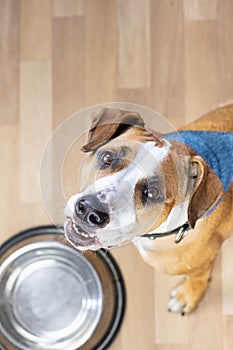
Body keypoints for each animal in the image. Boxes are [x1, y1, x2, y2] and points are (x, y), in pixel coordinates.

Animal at [64, 104, 233, 314]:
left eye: (152, 193)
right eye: (107, 157)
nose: (90, 210)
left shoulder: (201, 263)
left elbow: (199, 277)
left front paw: (188, 295)